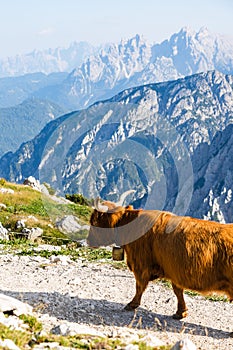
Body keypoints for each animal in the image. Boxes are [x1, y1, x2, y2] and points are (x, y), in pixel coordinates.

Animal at [87, 197, 233, 320]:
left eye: (94, 222)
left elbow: (139, 286)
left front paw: (132, 304)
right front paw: (181, 312)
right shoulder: (173, 270)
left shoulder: (141, 265)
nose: (88, 241)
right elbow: (177, 291)